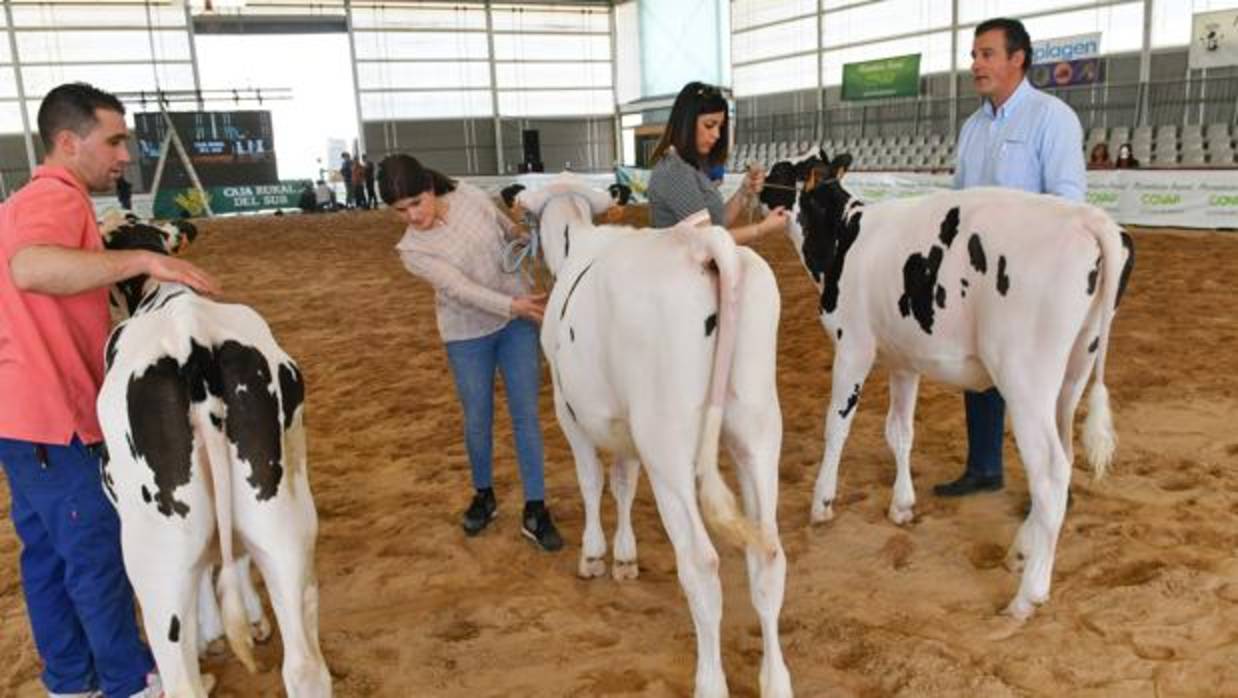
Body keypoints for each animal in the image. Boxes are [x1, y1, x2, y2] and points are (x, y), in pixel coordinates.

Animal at [97, 216, 331, 693]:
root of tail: (193, 343)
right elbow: (232, 555)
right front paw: (255, 621)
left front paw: (211, 632)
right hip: (283, 518)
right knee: (305, 666)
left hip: (154, 549)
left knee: (181, 674)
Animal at [515, 175, 792, 698]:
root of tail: (703, 243)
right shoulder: (627, 429)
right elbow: (624, 483)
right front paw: (625, 559)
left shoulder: (568, 412)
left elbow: (592, 483)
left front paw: (594, 555)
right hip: (758, 430)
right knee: (768, 554)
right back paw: (776, 681)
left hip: (668, 445)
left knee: (701, 563)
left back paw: (709, 682)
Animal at [772, 160, 1134, 618]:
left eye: (781, 170)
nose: (754, 183)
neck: (845, 234)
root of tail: (1090, 218)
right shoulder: (903, 359)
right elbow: (899, 432)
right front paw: (901, 506)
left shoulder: (852, 345)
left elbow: (836, 426)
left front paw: (821, 503)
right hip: (1074, 373)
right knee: (1065, 460)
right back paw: (1021, 551)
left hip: (1026, 380)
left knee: (1050, 473)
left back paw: (1027, 596)